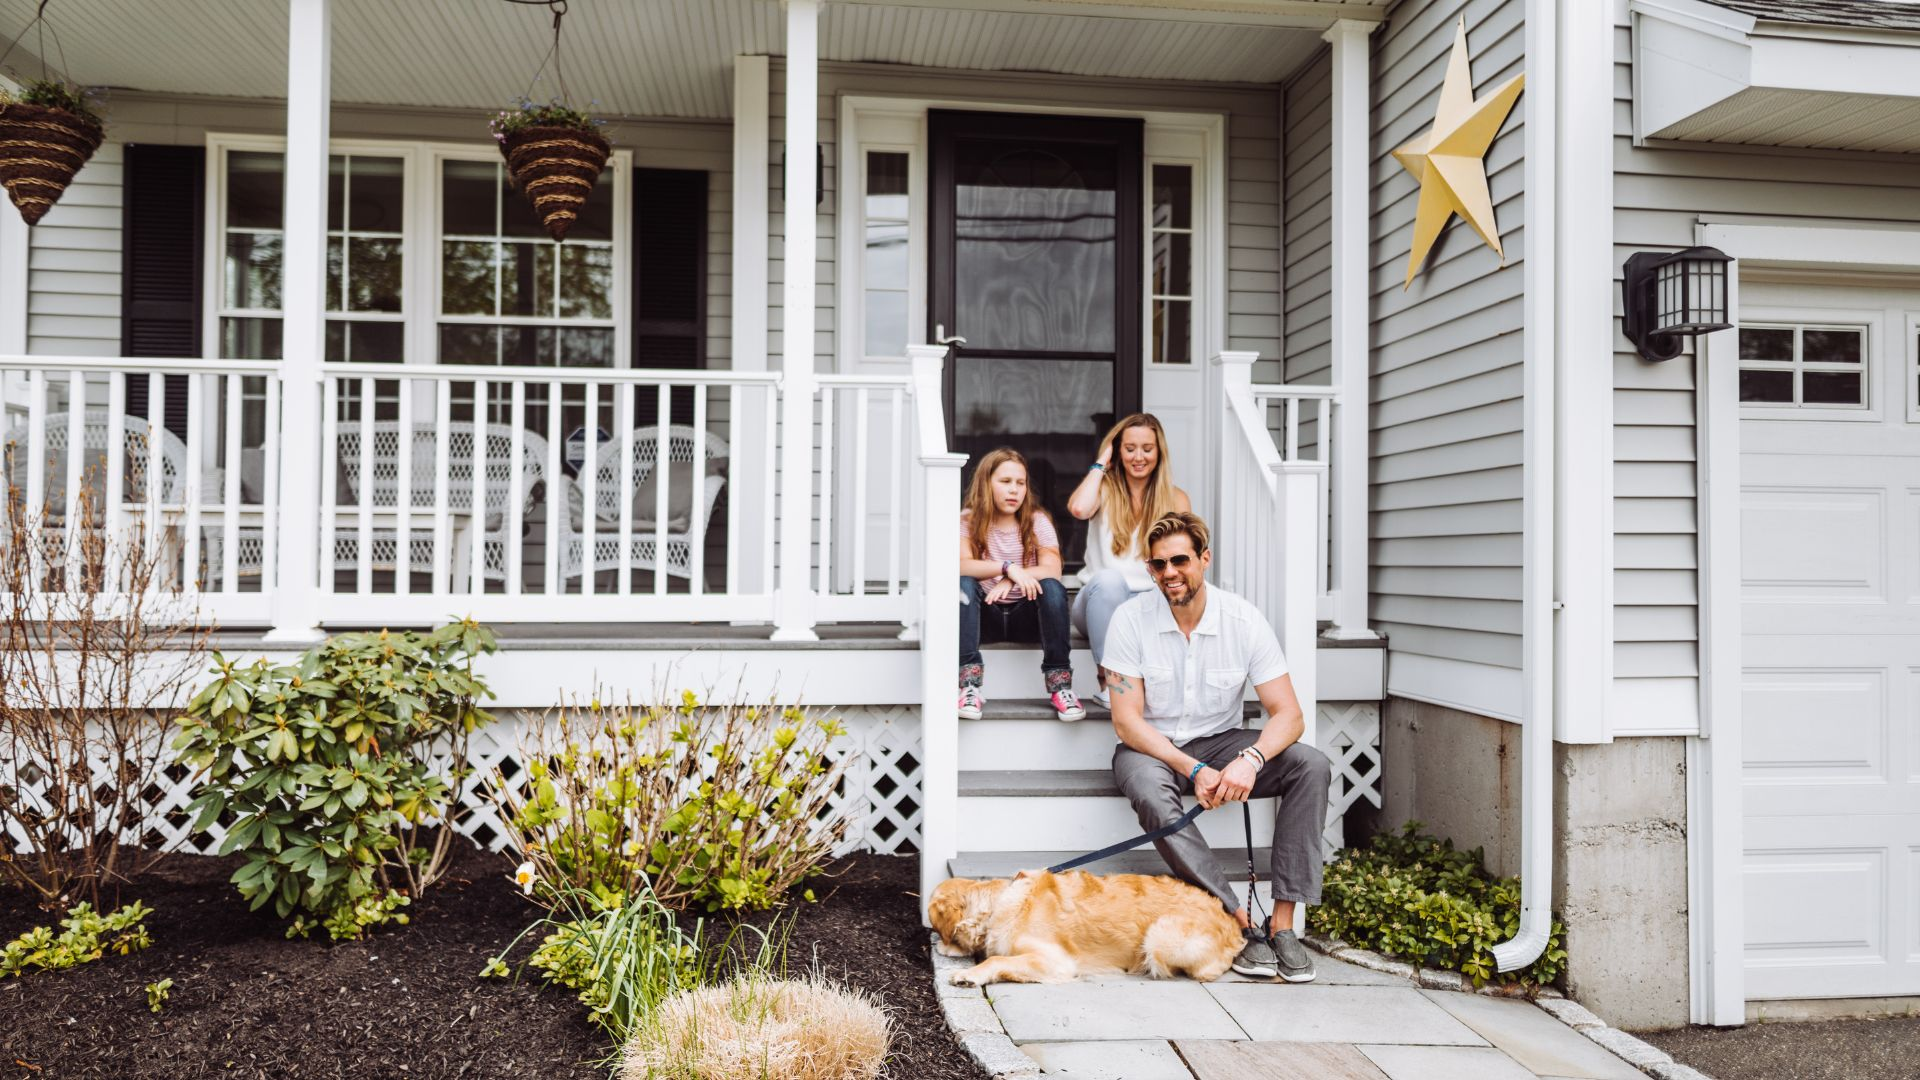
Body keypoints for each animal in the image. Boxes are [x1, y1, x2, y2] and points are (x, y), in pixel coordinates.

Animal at [929, 864, 1244, 983]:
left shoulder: (1055, 961)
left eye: (935, 928)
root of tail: (1234, 924)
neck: (1002, 903)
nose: (933, 944)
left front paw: (969, 974)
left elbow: (997, 961)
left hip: (1161, 937)